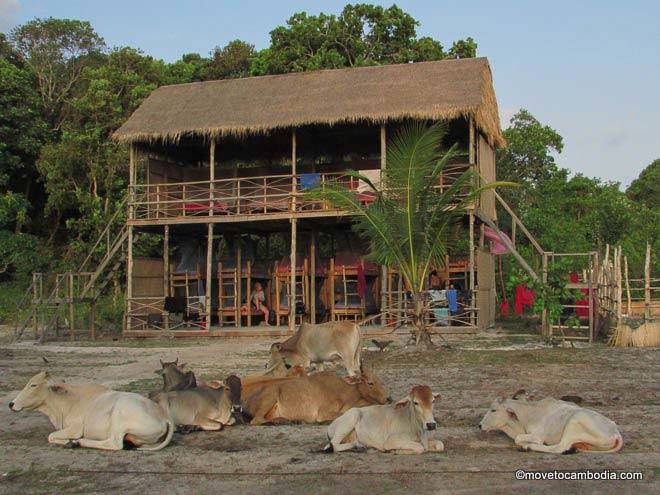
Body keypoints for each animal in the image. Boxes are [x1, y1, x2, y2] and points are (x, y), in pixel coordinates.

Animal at [9, 372, 174, 454]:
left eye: (33, 385)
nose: (11, 404)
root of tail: (164, 416)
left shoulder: (75, 428)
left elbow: (50, 436)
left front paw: (70, 442)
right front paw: (69, 442)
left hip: (119, 416)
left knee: (114, 444)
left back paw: (80, 442)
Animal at [244, 364, 390, 426]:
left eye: (379, 380)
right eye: (370, 383)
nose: (389, 398)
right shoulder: (323, 412)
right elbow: (342, 414)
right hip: (270, 397)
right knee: (256, 421)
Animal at [480, 394, 624, 456]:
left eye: (493, 410)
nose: (480, 425)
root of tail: (616, 432)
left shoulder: (538, 436)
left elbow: (518, 439)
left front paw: (526, 444)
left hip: (575, 420)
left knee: (559, 447)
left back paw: (528, 447)